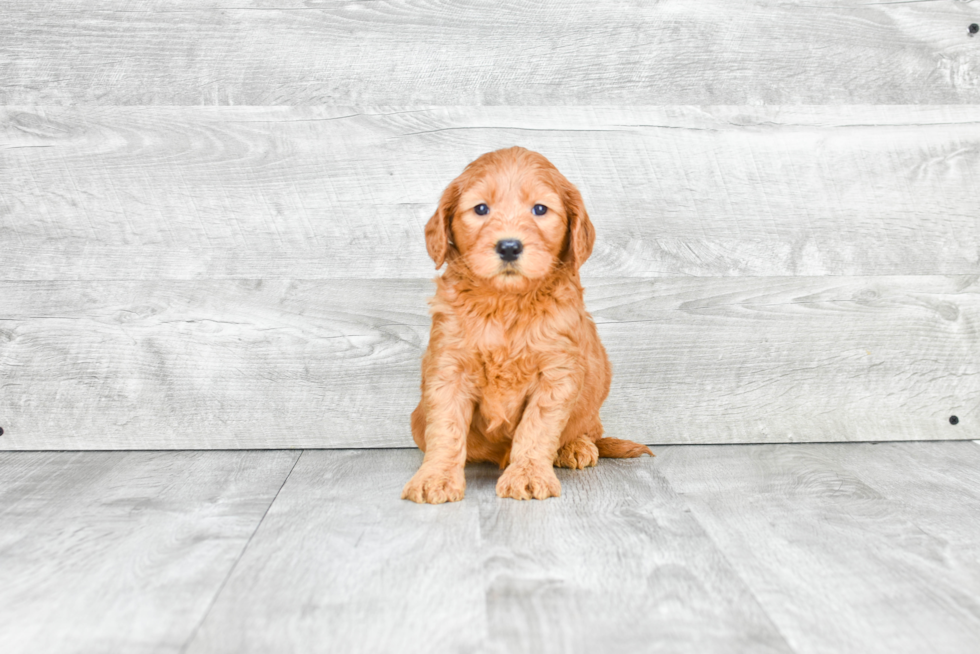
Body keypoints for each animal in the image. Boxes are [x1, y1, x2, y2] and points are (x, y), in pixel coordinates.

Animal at [398, 147, 652, 508]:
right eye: (481, 209)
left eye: (540, 209)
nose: (509, 246)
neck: (507, 303)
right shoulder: (448, 368)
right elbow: (445, 429)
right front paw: (435, 477)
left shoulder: (558, 373)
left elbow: (537, 428)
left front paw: (528, 475)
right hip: (416, 419)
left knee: (588, 430)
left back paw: (575, 446)